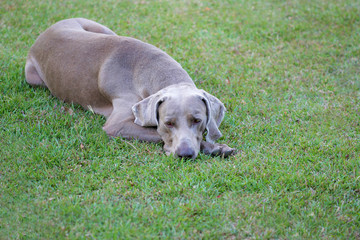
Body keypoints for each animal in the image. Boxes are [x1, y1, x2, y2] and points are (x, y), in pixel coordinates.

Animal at [25, 17, 235, 158]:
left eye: (197, 120)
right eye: (168, 123)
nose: (185, 154)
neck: (151, 69)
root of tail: (48, 29)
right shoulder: (116, 125)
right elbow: (155, 133)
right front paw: (215, 147)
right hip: (31, 77)